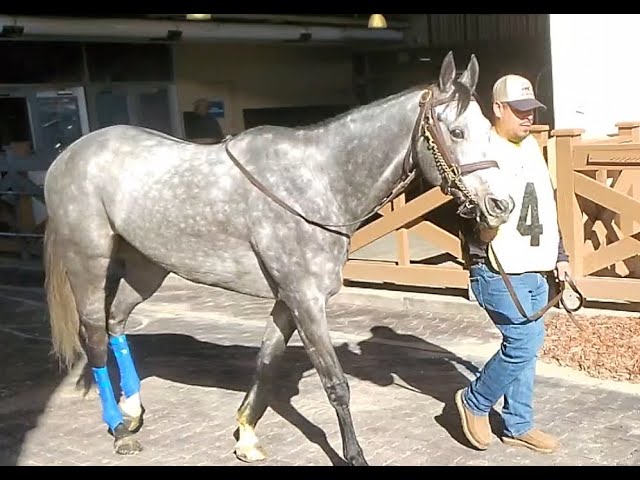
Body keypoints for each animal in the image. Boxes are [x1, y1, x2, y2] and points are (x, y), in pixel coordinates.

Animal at [42, 51, 516, 464]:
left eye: (489, 130)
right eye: (456, 132)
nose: (501, 205)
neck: (317, 183)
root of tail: (66, 156)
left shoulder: (288, 301)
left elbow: (266, 365)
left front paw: (246, 436)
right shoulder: (306, 300)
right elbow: (336, 384)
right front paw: (354, 455)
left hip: (148, 267)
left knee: (117, 322)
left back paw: (134, 410)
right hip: (88, 263)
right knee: (95, 337)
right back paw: (119, 429)